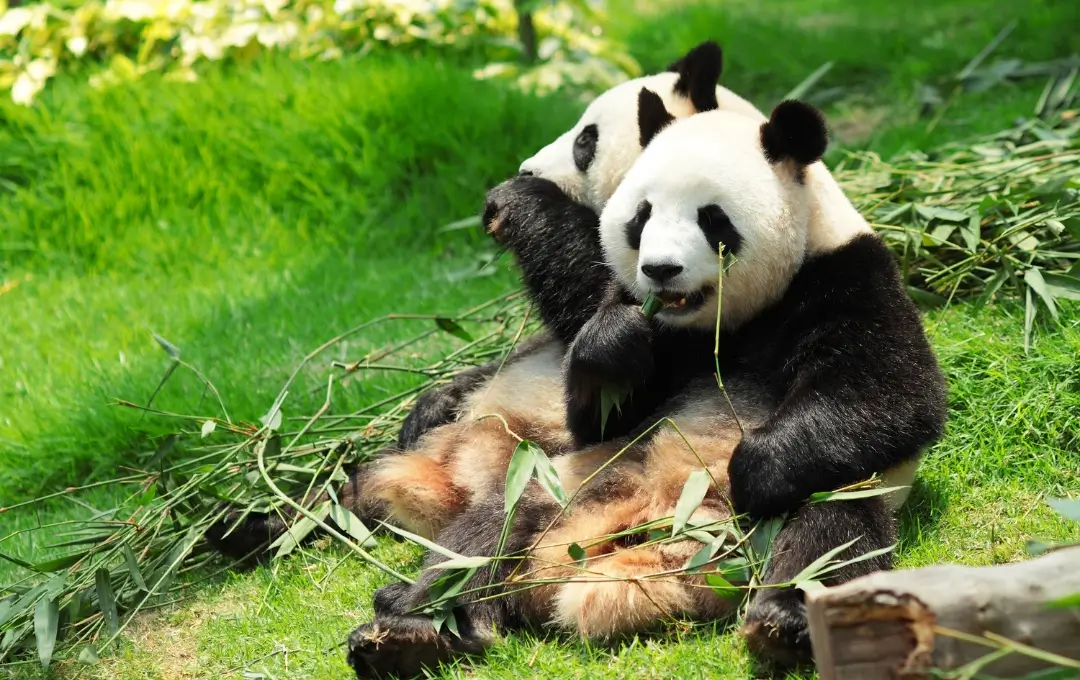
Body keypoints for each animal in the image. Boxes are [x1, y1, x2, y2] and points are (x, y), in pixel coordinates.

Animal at [344, 99, 948, 677]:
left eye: (712, 218)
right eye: (642, 215)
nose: (660, 270)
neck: (722, 324)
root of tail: (660, 533)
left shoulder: (846, 276)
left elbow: (891, 398)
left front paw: (751, 468)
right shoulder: (651, 335)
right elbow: (600, 409)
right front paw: (615, 342)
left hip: (818, 501)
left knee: (831, 532)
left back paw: (784, 622)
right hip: (570, 479)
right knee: (487, 534)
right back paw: (412, 631)